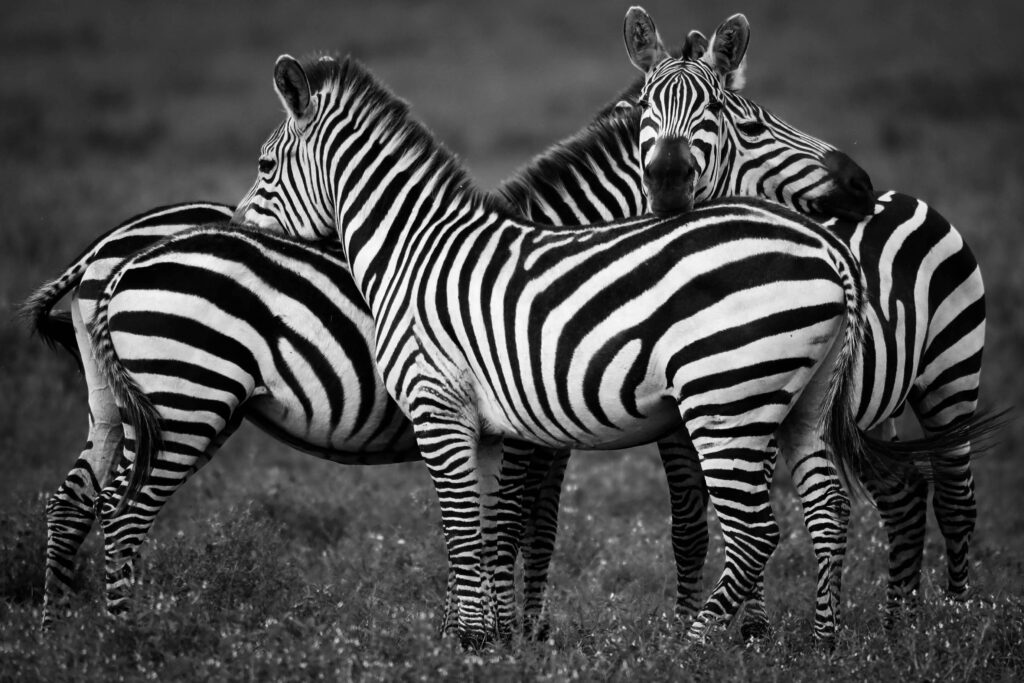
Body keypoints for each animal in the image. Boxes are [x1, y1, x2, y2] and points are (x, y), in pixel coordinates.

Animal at [224, 54, 950, 647]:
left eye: (263, 166)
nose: (234, 228)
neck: (416, 248)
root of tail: (829, 248)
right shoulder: (505, 425)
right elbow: (500, 526)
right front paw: (499, 636)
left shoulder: (442, 410)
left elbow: (467, 527)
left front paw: (475, 640)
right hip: (802, 399)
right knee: (828, 506)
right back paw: (823, 641)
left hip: (727, 399)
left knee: (756, 530)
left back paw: (690, 646)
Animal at [618, 9, 987, 630]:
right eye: (644, 106)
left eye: (720, 111)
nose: (667, 176)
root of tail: (904, 196)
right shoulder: (680, 428)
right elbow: (692, 522)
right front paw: (716, 619)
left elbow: (749, 515)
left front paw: (752, 627)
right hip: (869, 411)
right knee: (905, 494)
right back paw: (900, 624)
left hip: (950, 377)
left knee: (957, 499)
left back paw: (955, 621)